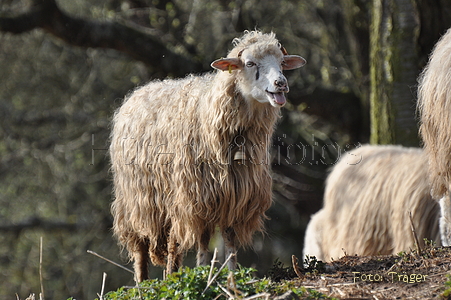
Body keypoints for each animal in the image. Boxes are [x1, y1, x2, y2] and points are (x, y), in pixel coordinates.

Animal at [110, 30, 308, 282]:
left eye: (282, 63)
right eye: (250, 63)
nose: (280, 84)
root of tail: (141, 91)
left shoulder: (235, 196)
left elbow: (230, 241)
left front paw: (232, 275)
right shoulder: (197, 198)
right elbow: (203, 241)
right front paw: (204, 272)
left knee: (171, 243)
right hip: (138, 199)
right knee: (143, 246)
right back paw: (145, 281)